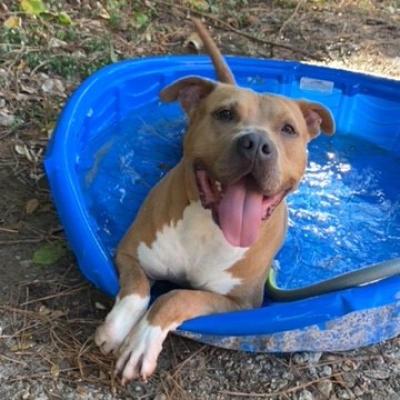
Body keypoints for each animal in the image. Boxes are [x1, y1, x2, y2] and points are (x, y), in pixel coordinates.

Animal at [94, 19, 334, 384]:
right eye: (224, 113)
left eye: (288, 129)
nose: (256, 144)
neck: (209, 227)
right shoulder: (129, 252)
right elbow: (139, 289)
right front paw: (117, 328)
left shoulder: (239, 303)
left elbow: (175, 297)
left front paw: (141, 342)